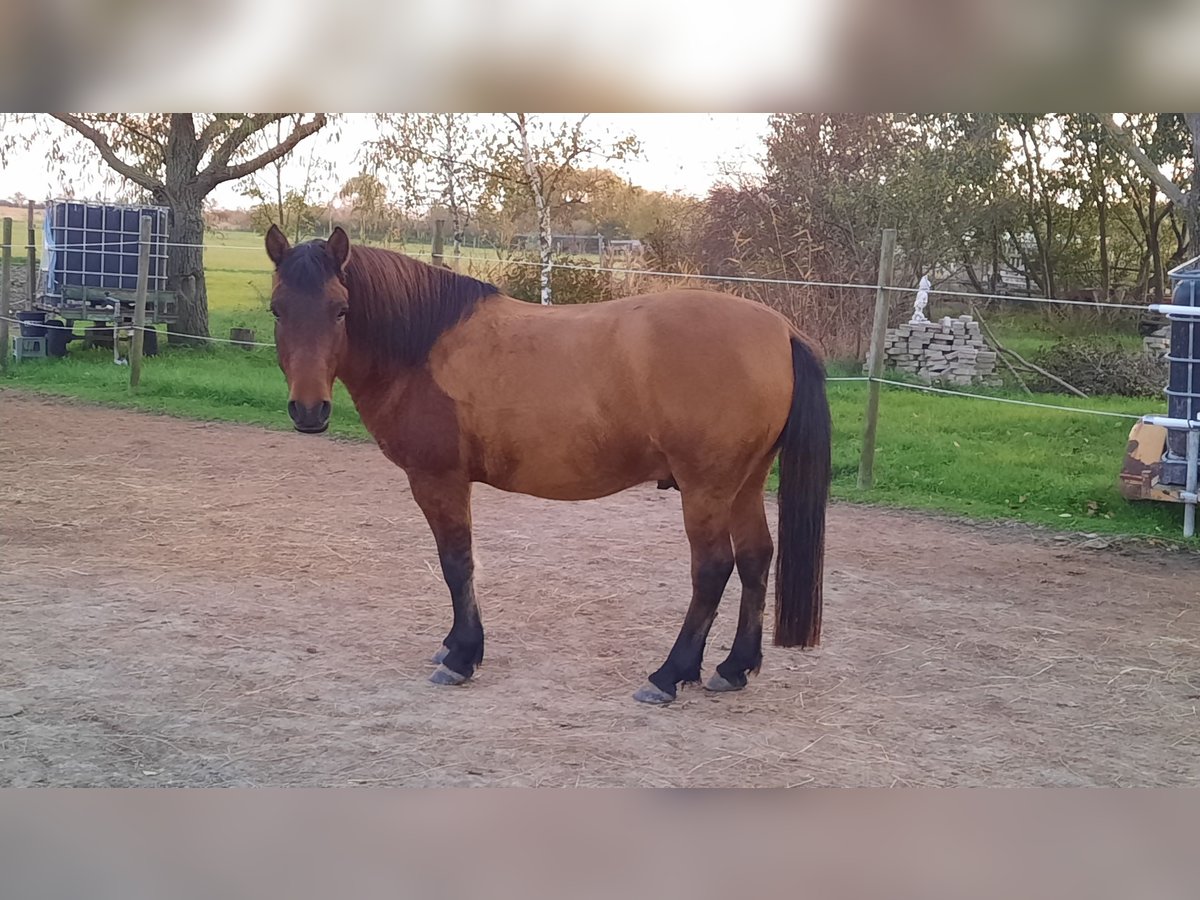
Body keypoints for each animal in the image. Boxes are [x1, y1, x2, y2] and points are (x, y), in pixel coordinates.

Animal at [265, 225, 825, 705]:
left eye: (341, 310)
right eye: (277, 310)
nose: (309, 410)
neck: (424, 346)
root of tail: (781, 330)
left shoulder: (438, 480)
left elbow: (457, 563)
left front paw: (462, 656)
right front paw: (453, 646)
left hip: (706, 488)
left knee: (712, 570)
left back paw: (668, 675)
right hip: (745, 484)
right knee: (755, 559)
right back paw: (733, 668)